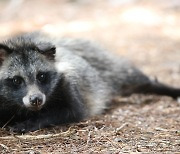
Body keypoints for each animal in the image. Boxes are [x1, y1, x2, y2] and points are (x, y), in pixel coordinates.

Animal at [0, 32, 179, 132]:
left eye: (41, 76)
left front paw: (32, 122)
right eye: (16, 80)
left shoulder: (68, 85)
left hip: (108, 66)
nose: (36, 99)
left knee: (137, 80)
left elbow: (71, 112)